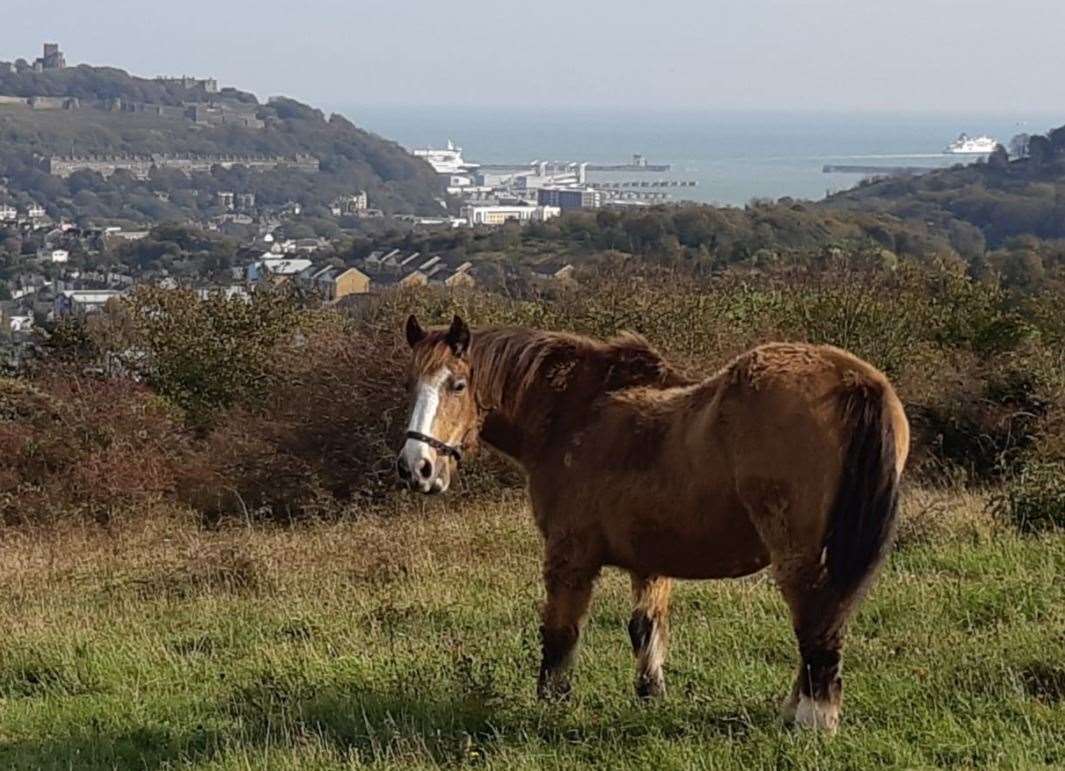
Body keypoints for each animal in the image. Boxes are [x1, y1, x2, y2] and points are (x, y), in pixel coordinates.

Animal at [396, 315, 911, 736]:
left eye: (457, 384)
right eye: (411, 386)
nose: (415, 468)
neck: (575, 414)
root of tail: (854, 381)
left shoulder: (569, 557)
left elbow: (560, 633)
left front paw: (552, 705)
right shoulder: (650, 557)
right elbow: (645, 626)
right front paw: (651, 694)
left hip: (798, 555)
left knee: (817, 626)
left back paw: (811, 721)